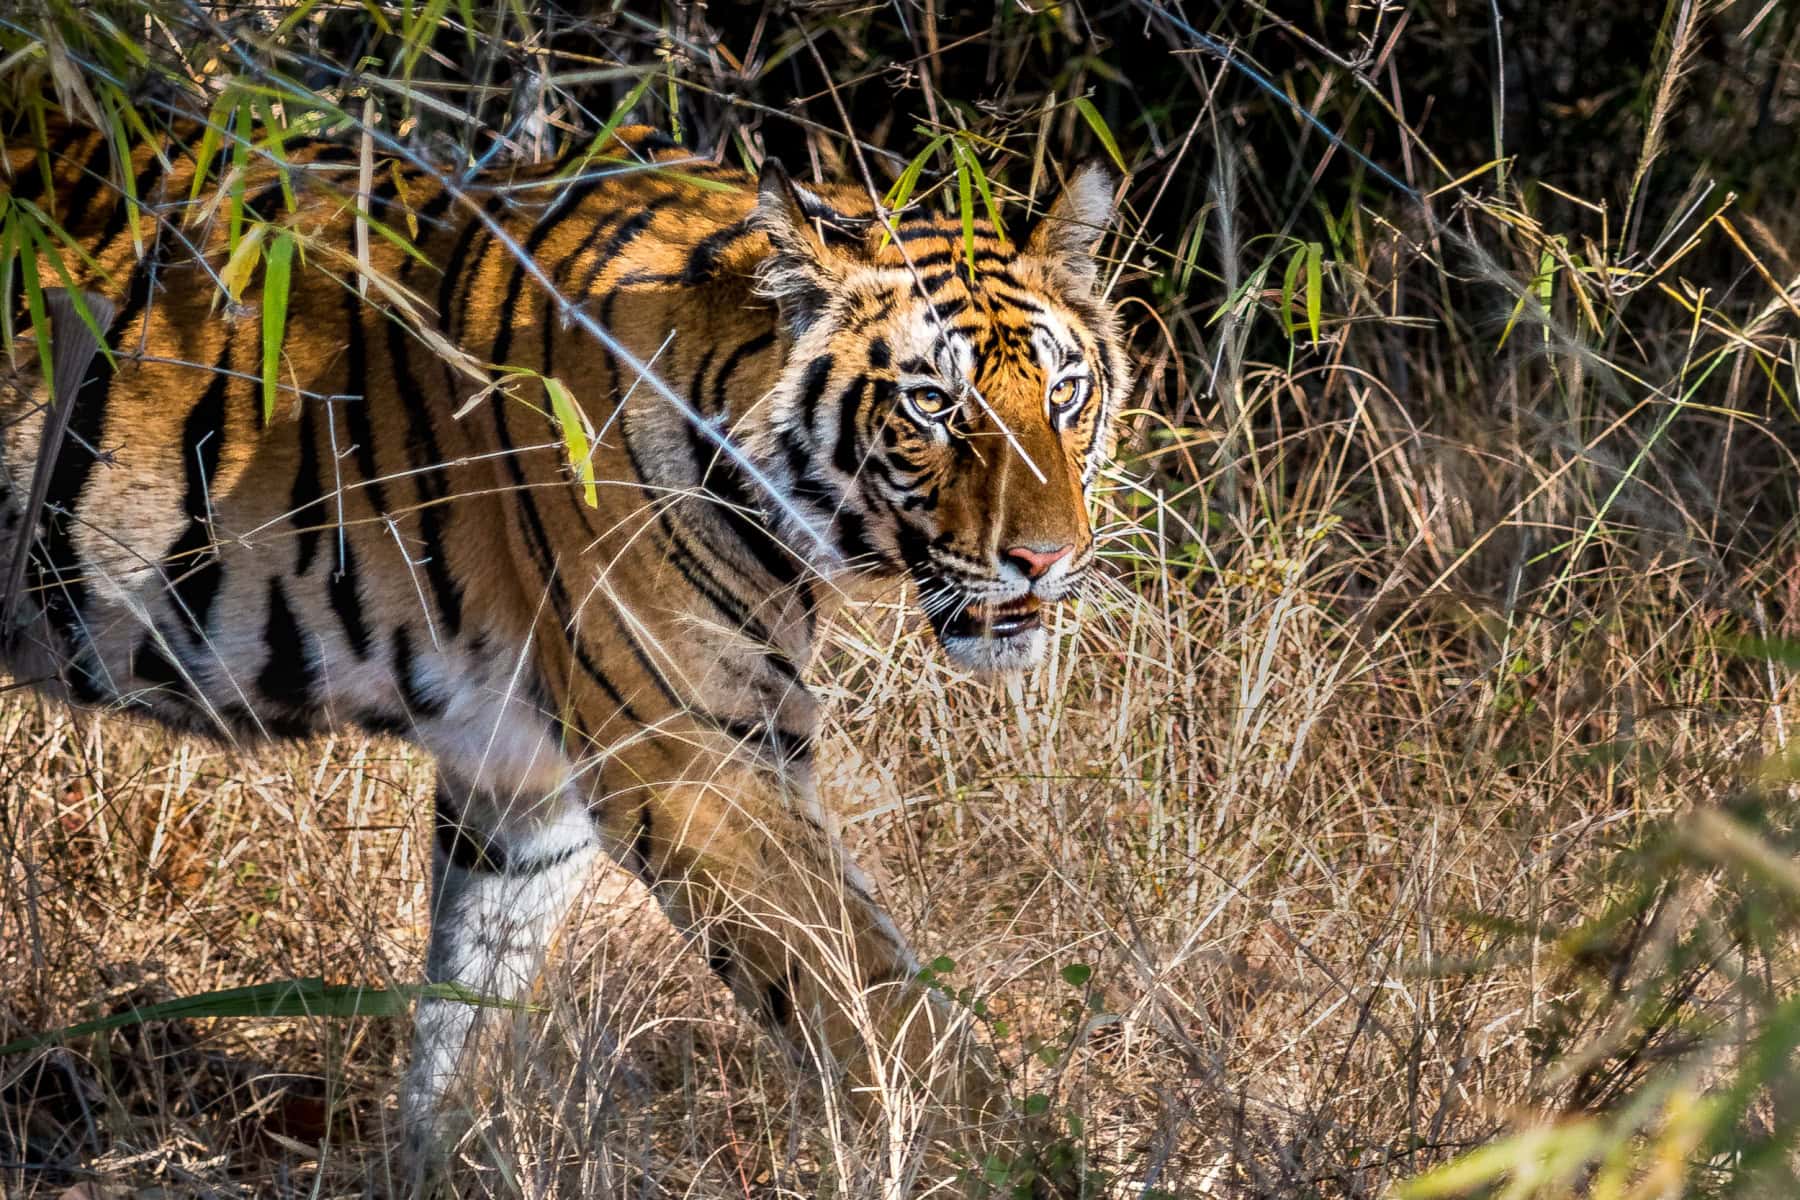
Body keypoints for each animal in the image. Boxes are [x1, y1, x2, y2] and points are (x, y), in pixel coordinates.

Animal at [0, 114, 1129, 1173]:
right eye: (932, 404)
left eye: (1065, 393)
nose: (1046, 557)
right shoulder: (696, 755)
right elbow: (881, 1001)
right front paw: (1014, 1161)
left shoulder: (525, 785)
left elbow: (471, 1012)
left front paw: (437, 1169)